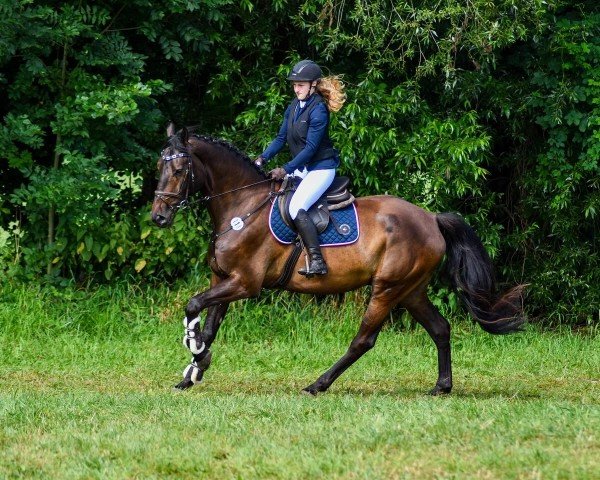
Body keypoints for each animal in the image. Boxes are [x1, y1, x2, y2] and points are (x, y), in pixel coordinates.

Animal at [152, 123, 524, 394]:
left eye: (181, 169)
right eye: (160, 166)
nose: (159, 217)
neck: (241, 207)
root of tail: (431, 218)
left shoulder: (245, 283)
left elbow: (192, 306)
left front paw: (194, 351)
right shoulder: (222, 278)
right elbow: (210, 324)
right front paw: (192, 371)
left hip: (387, 288)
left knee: (363, 340)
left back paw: (317, 385)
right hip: (411, 290)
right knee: (440, 328)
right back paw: (441, 387)